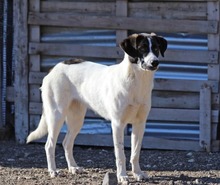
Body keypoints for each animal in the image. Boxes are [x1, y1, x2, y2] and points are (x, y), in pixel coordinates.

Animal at [26, 32, 167, 183]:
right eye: (142, 48)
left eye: (156, 48)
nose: (155, 62)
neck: (137, 80)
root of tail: (55, 67)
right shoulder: (118, 124)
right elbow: (120, 155)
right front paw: (122, 176)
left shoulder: (140, 124)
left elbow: (135, 153)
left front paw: (137, 173)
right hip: (56, 116)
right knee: (49, 145)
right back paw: (53, 170)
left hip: (77, 120)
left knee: (66, 143)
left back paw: (73, 167)